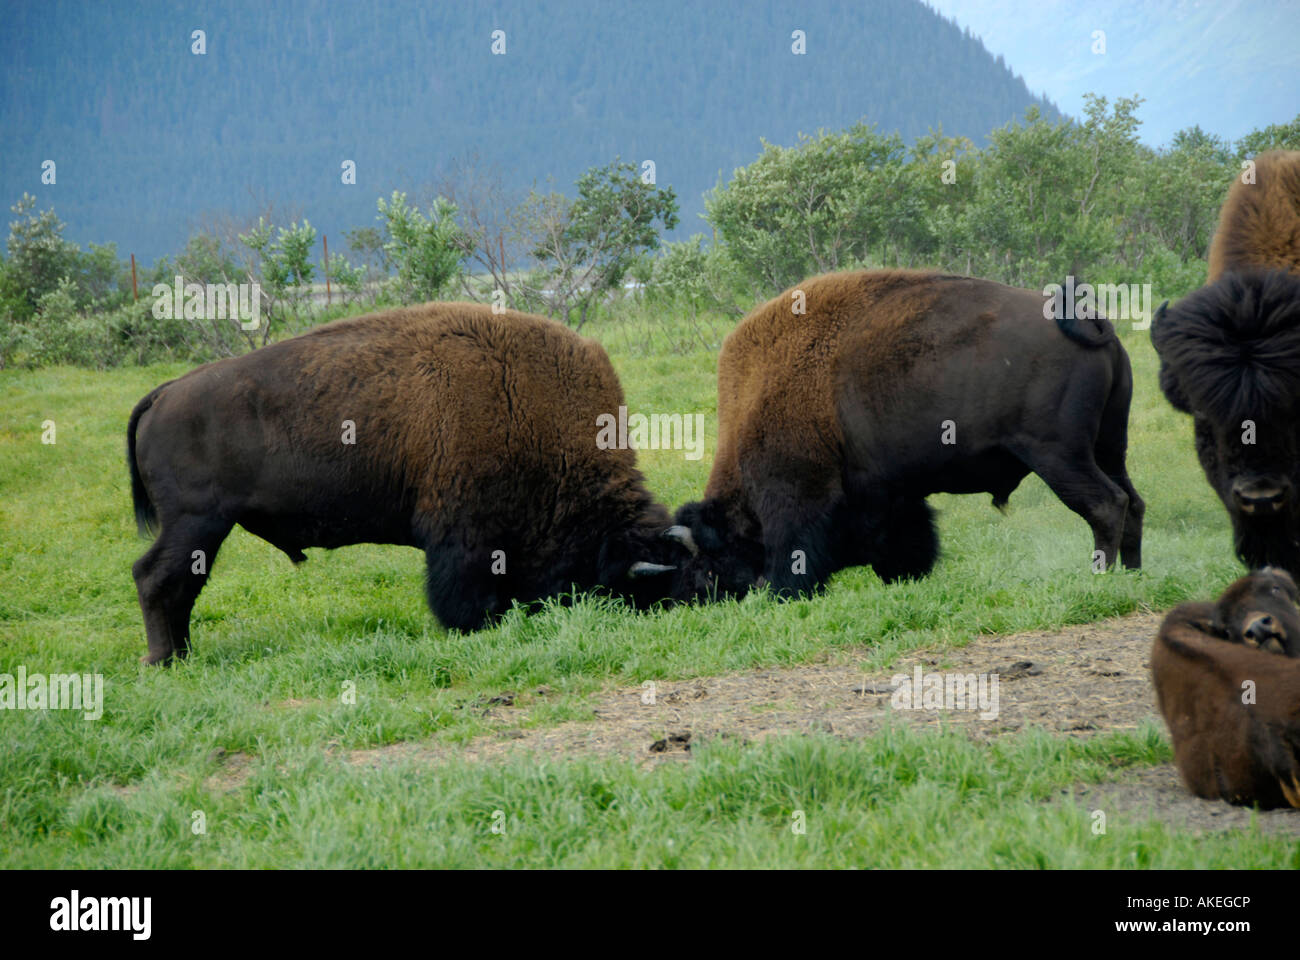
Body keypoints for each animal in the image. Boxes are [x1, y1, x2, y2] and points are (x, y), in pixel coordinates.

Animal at [127, 303, 698, 663]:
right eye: (638, 590)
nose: (677, 609)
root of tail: (165, 391)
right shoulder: (461, 533)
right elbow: (461, 592)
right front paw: (472, 628)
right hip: (198, 522)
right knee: (157, 577)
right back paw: (164, 659)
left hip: (202, 527)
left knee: (178, 584)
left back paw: (182, 654)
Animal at [671, 269, 1144, 598]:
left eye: (712, 559)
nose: (705, 594)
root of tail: (1093, 325)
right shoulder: (892, 495)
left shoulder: (798, 494)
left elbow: (795, 552)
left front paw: (781, 593)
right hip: (1108, 448)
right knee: (1133, 502)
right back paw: (1135, 572)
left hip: (1058, 455)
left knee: (1105, 504)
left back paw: (1099, 576)